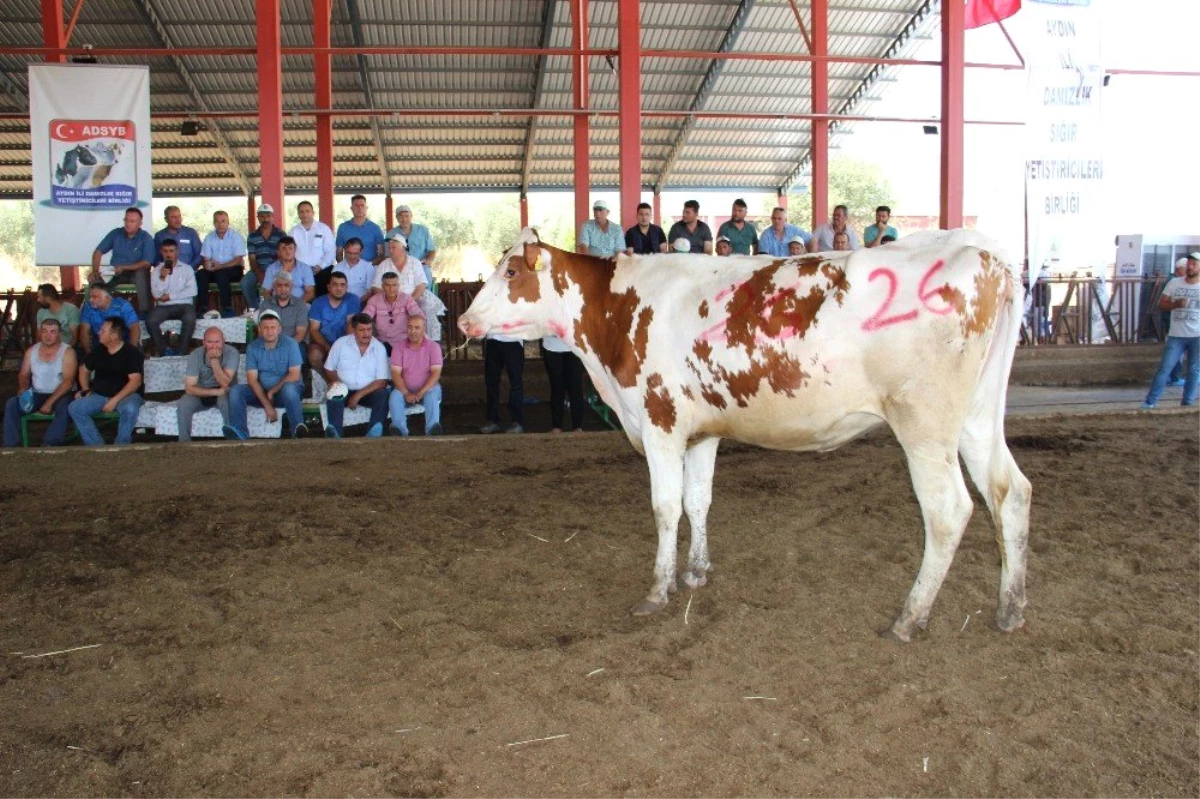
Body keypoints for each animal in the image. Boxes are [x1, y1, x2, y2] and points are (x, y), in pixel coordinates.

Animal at [458, 226, 1032, 638]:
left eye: (512, 270)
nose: (463, 321)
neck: (619, 311)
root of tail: (980, 249)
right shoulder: (702, 430)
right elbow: (698, 500)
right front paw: (696, 571)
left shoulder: (661, 422)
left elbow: (665, 508)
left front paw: (658, 589)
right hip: (977, 416)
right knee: (1011, 491)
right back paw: (1010, 608)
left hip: (924, 422)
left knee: (949, 510)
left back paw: (910, 617)